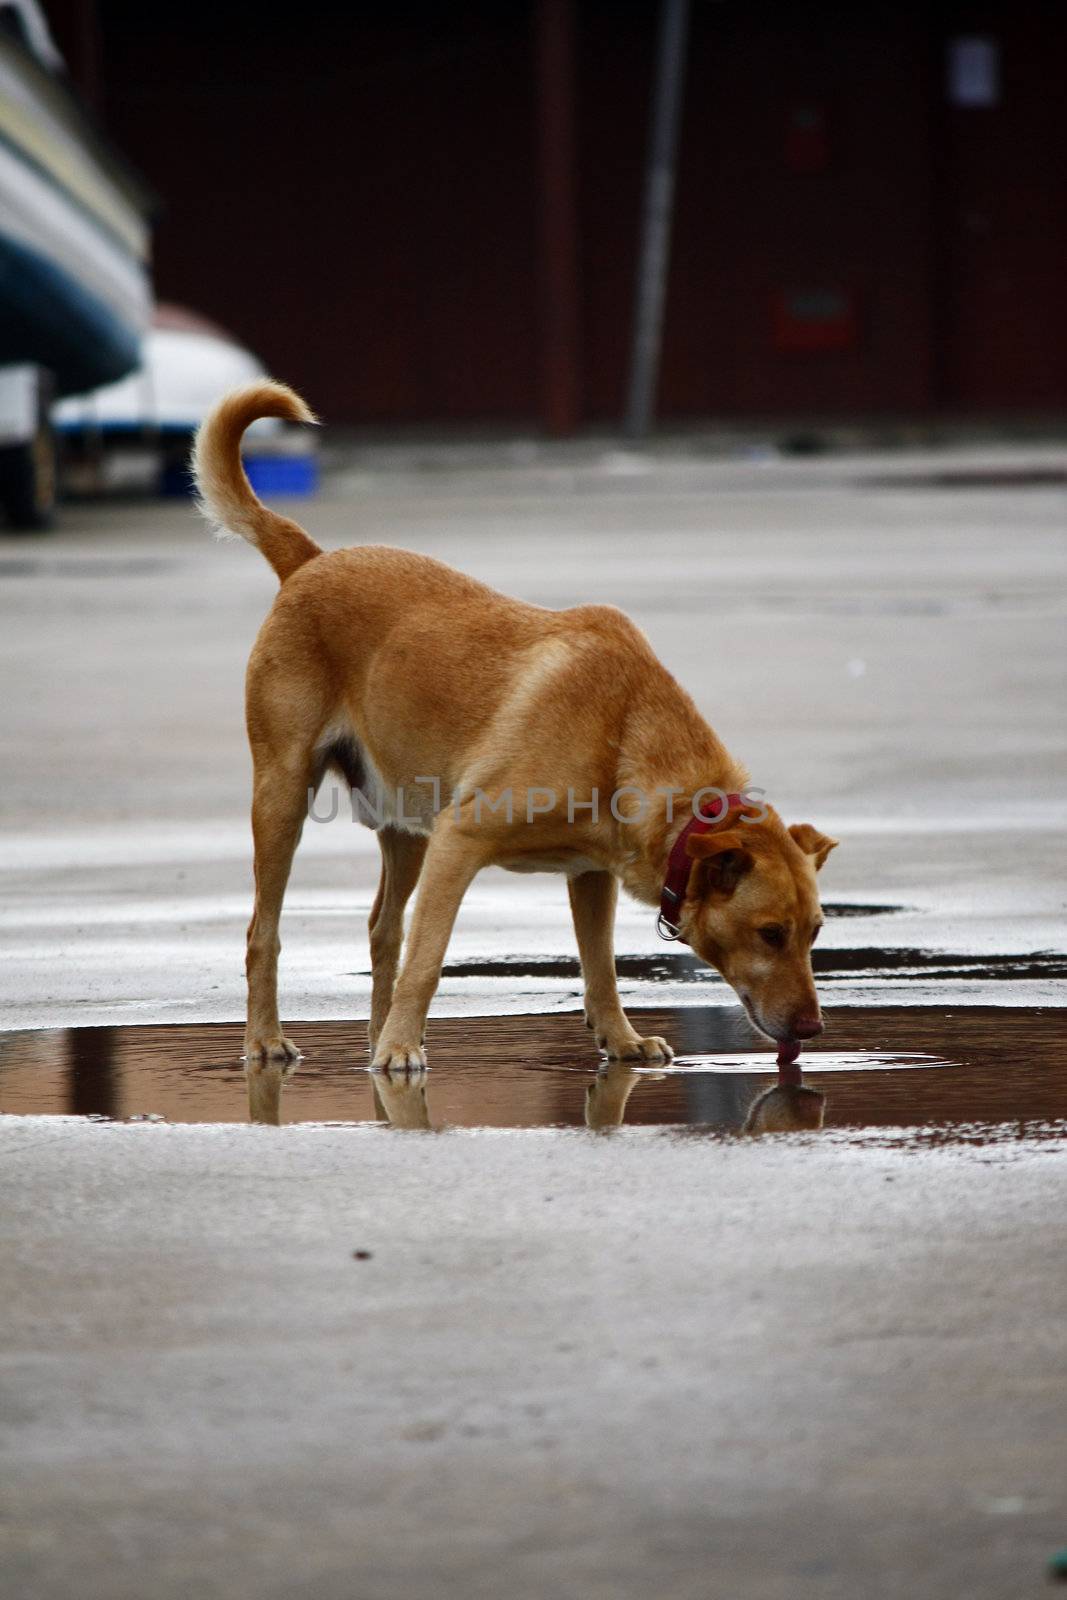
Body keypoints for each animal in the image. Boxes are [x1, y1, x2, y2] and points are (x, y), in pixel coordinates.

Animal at [195, 380, 838, 1068]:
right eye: (770, 934)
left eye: (815, 932)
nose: (812, 1029)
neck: (626, 730)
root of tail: (309, 561)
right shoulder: (459, 841)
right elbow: (429, 961)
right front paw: (404, 1047)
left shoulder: (588, 875)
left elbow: (600, 966)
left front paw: (620, 1040)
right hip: (286, 796)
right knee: (264, 932)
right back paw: (274, 1040)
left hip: (406, 825)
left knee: (383, 930)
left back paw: (375, 1039)